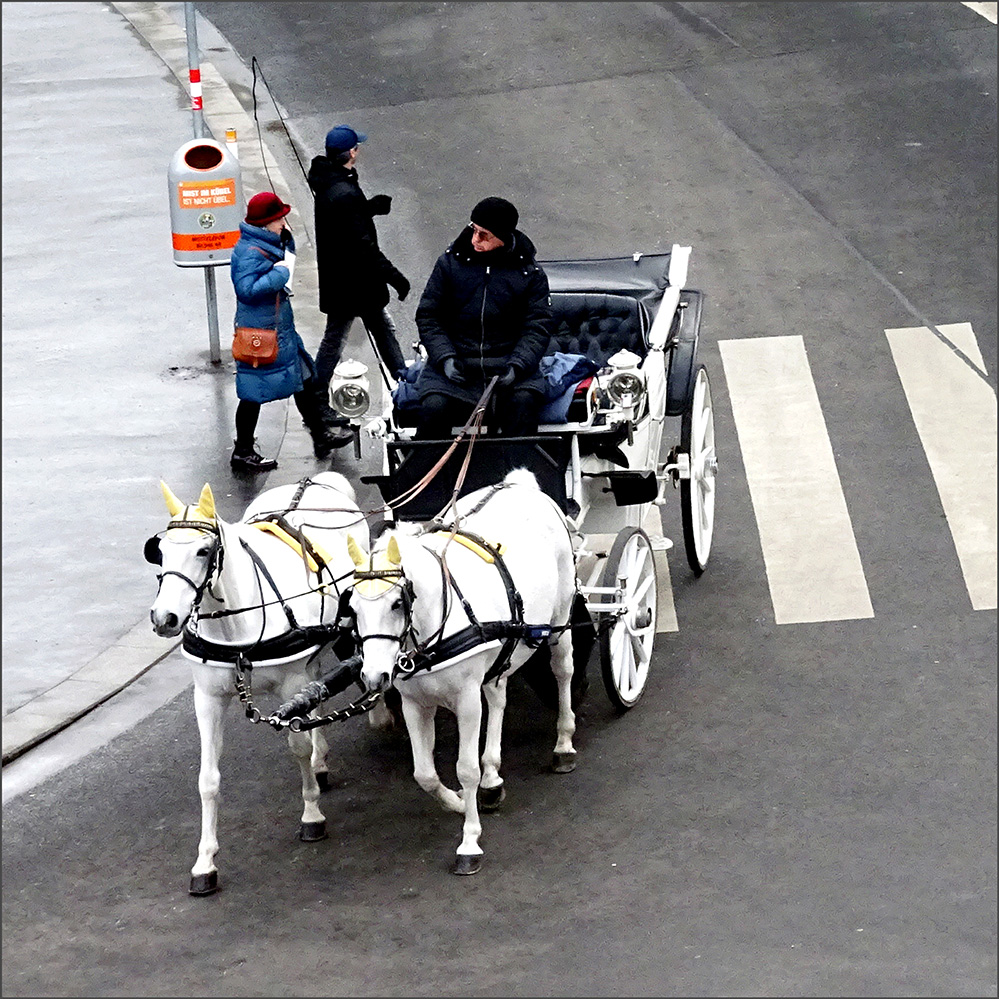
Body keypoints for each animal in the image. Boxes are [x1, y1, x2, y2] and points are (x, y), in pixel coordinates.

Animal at [145, 472, 368, 896]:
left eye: (203, 551)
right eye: (159, 551)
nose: (165, 618)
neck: (239, 625)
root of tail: (317, 481)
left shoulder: (290, 682)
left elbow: (296, 746)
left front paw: (311, 814)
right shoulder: (207, 698)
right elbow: (208, 779)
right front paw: (205, 862)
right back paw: (321, 760)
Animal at [348, 468, 580, 876]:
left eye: (396, 603)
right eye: (353, 607)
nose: (375, 677)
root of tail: (519, 484)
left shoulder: (467, 700)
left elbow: (465, 768)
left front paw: (469, 841)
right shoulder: (415, 704)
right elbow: (424, 774)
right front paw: (456, 802)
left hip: (560, 617)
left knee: (562, 669)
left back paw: (563, 742)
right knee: (498, 693)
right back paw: (493, 775)